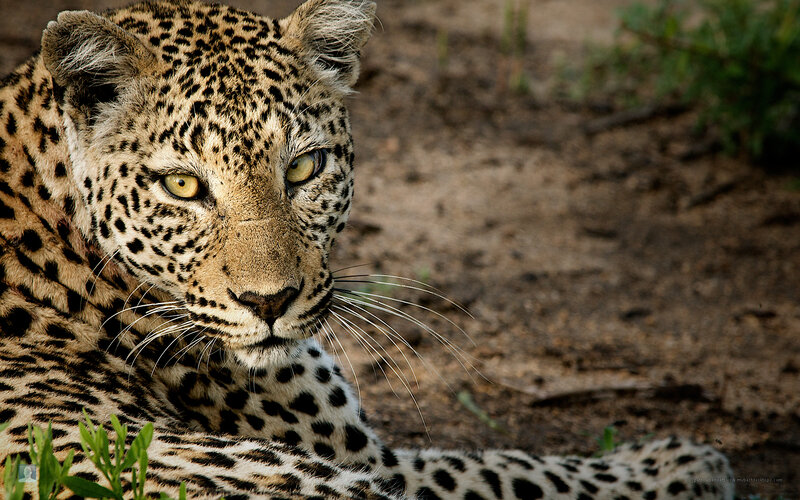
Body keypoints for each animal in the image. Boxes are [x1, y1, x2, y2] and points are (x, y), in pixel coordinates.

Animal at [0, 0, 735, 498]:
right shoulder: (371, 462)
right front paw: (679, 463)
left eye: (305, 168)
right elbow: (507, 468)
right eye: (182, 185)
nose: (270, 302)